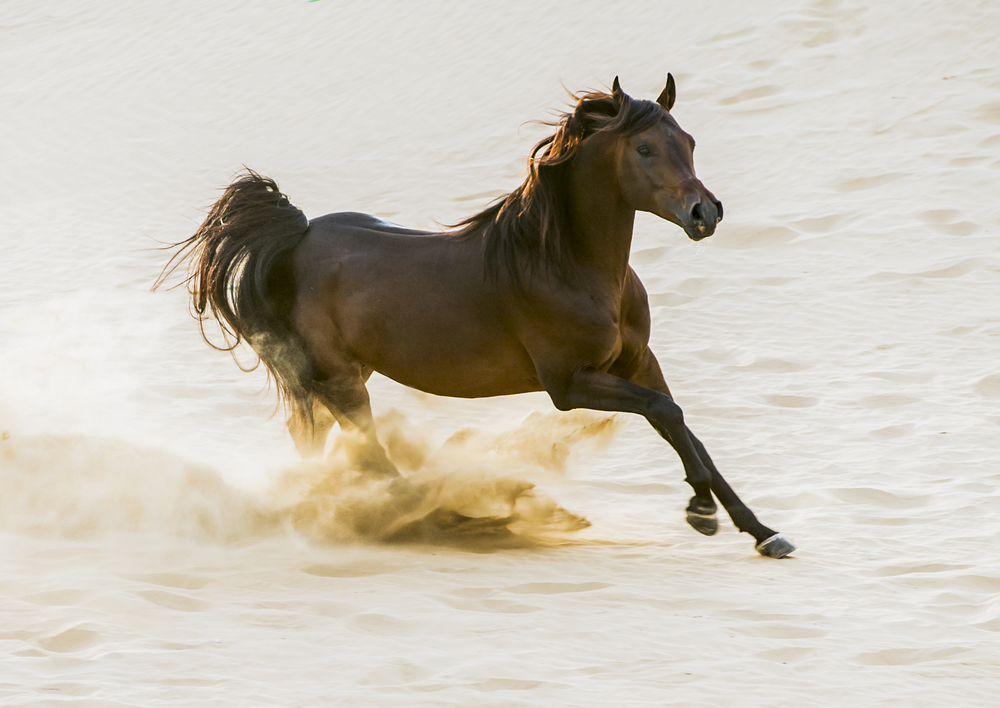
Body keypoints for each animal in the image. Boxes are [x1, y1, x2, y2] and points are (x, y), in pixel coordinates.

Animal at [158, 73, 796, 560]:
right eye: (644, 149)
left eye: (688, 140)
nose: (705, 212)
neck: (568, 266)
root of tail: (298, 234)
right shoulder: (570, 385)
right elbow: (668, 415)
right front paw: (701, 511)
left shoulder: (639, 362)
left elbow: (683, 428)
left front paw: (760, 531)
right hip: (340, 381)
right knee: (371, 457)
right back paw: (444, 519)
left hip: (339, 377)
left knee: (313, 442)